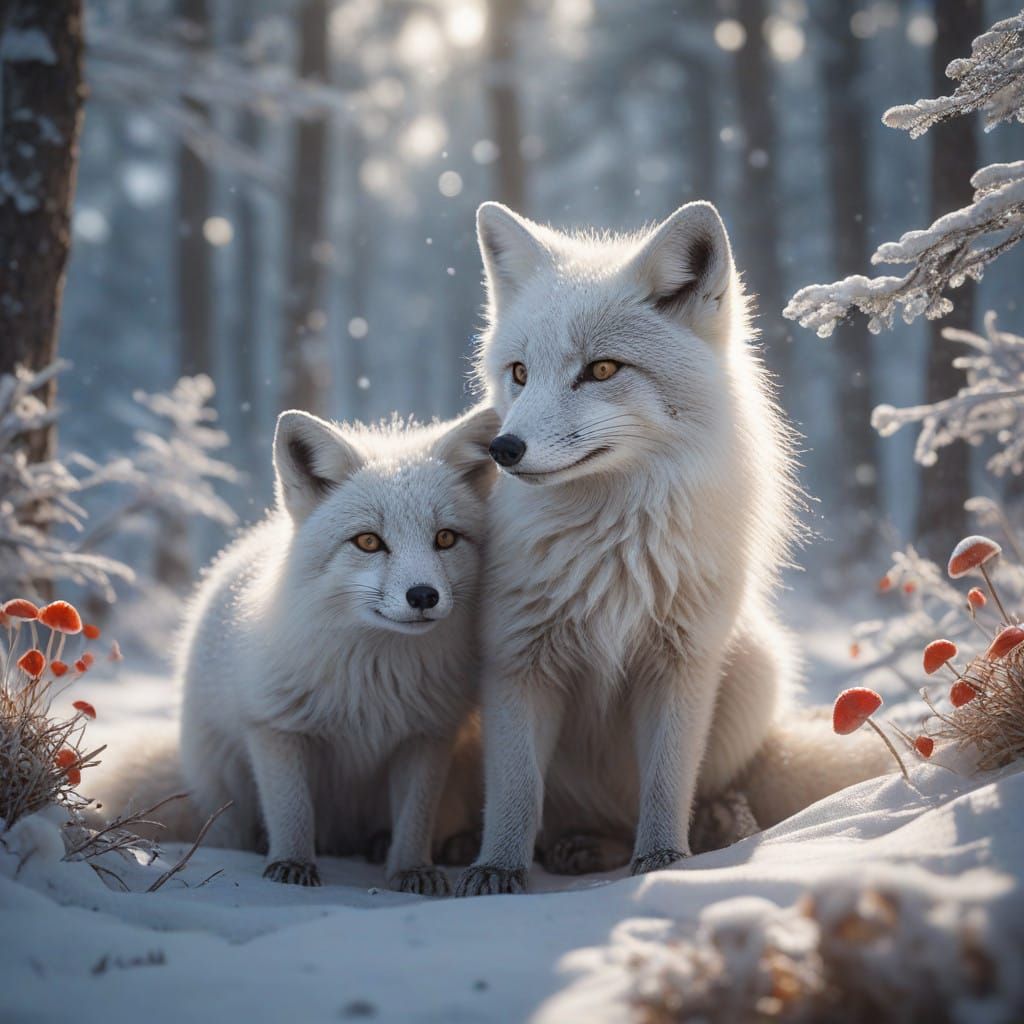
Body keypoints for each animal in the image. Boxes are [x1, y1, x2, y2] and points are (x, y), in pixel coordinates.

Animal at [103, 405, 497, 894]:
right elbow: (291, 811)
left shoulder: (426, 735)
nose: (423, 595)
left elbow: (415, 818)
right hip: (226, 786)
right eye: (369, 541)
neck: (373, 681)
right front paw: (291, 867)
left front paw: (411, 870)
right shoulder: (275, 726)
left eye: (445, 538)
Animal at [454, 201, 892, 897]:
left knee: (707, 790)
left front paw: (663, 864)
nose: (504, 450)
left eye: (602, 369)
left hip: (754, 664)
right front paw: (496, 868)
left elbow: (667, 783)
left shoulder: (681, 660)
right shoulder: (518, 661)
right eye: (519, 373)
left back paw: (698, 826)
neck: (610, 554)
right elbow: (517, 791)